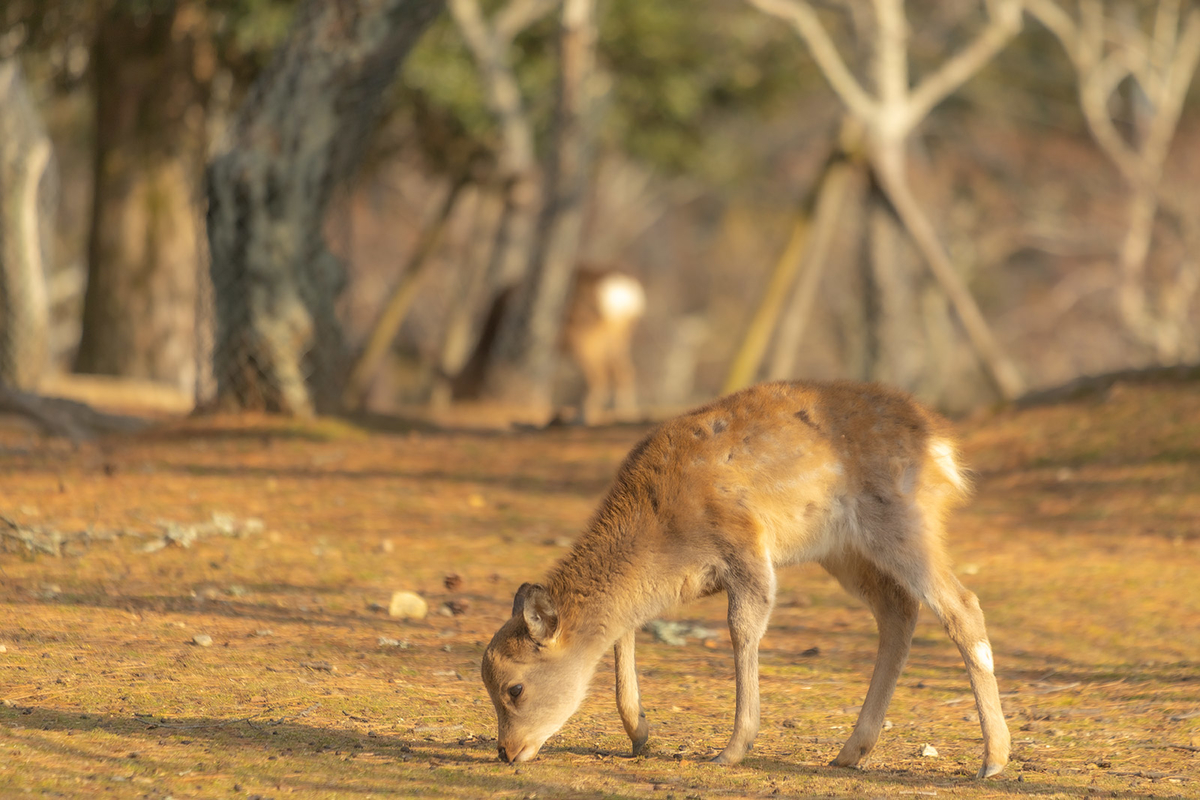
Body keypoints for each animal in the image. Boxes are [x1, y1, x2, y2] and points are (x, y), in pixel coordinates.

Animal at [482, 381, 1008, 777]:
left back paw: (993, 761)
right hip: (844, 552)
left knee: (962, 605)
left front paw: (731, 750)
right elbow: (624, 629)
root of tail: (944, 448)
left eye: (514, 688)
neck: (665, 537)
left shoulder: (746, 546)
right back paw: (849, 753)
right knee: (899, 612)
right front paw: (639, 735)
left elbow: (742, 629)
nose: (507, 751)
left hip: (902, 522)